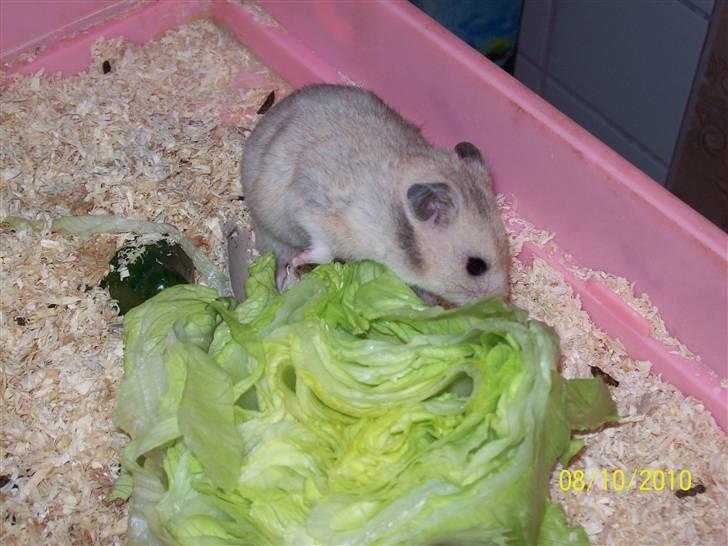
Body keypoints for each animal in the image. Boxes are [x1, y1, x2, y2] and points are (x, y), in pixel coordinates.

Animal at [240, 84, 509, 304]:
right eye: (475, 267)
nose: (501, 301)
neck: (396, 220)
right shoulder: (316, 215)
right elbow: (323, 250)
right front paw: (299, 260)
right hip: (272, 231)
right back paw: (284, 278)